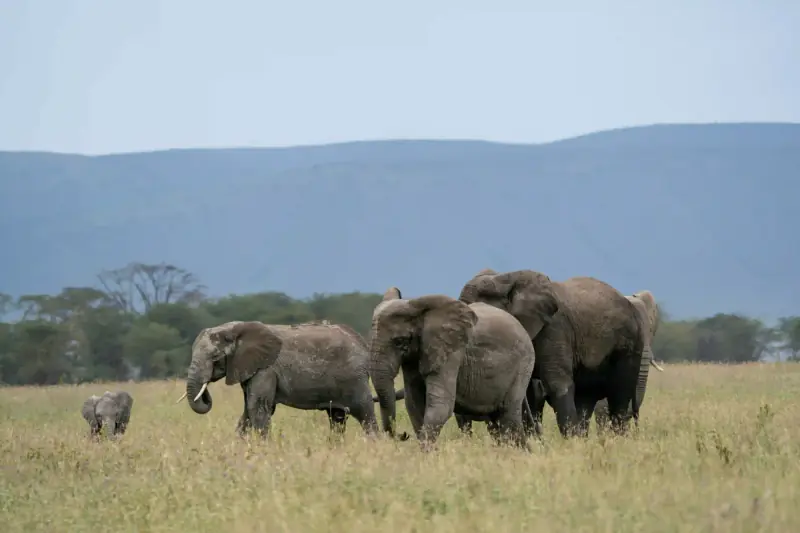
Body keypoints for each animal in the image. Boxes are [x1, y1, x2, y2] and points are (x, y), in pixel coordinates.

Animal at [178, 320, 386, 438]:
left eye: (215, 358)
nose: (206, 393)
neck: (235, 329)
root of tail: (362, 342)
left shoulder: (266, 369)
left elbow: (258, 407)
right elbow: (249, 409)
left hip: (355, 379)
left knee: (364, 413)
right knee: (337, 417)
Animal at [369, 286, 546, 451]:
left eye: (400, 342)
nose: (403, 435)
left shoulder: (452, 352)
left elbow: (441, 405)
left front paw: (427, 454)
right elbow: (413, 403)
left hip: (523, 364)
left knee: (508, 417)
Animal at [459, 269, 660, 438]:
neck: (504, 279)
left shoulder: (555, 329)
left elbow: (558, 385)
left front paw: (571, 444)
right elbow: (529, 392)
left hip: (629, 344)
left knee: (619, 398)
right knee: (585, 399)